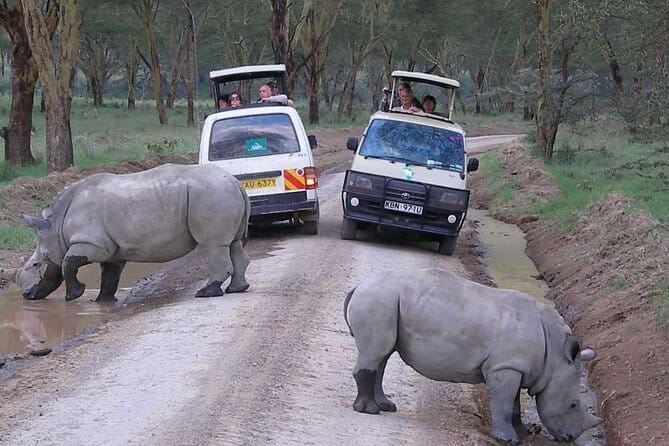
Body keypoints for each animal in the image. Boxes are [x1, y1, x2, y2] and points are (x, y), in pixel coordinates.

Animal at [5, 163, 251, 302]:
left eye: (36, 264)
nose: (27, 295)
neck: (55, 228)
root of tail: (236, 182)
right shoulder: (112, 250)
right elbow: (109, 274)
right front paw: (102, 301)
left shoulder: (92, 243)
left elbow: (68, 262)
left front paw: (73, 295)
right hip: (220, 192)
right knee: (234, 243)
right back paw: (237, 289)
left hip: (211, 194)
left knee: (214, 244)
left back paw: (205, 293)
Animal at [343, 268, 602, 444]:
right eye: (573, 404)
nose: (569, 438)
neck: (556, 353)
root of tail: (359, 286)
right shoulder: (505, 367)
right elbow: (504, 404)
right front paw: (507, 440)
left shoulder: (513, 366)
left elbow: (514, 404)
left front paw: (522, 433)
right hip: (378, 300)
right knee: (376, 352)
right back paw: (369, 411)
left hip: (385, 301)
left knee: (382, 355)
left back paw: (386, 406)